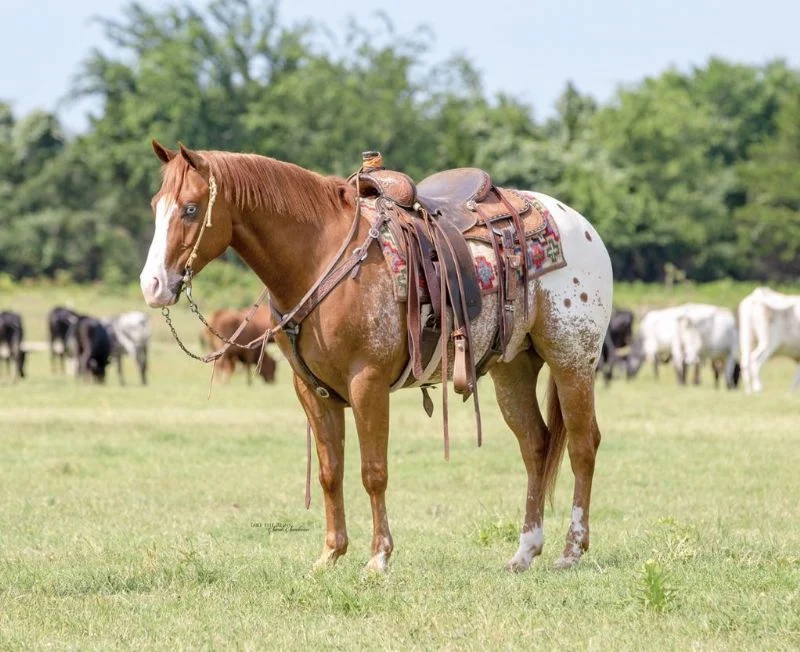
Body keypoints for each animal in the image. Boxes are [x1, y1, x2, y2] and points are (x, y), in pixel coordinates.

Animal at [139, 141, 613, 573]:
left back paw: (572, 550)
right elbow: (331, 472)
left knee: (582, 445)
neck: (320, 258)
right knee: (535, 446)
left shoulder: (367, 383)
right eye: (156, 206)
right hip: (512, 368)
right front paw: (330, 555)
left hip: (572, 360)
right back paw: (524, 552)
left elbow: (373, 471)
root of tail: (582, 226)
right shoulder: (312, 390)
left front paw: (379, 558)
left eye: (190, 209)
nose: (152, 284)